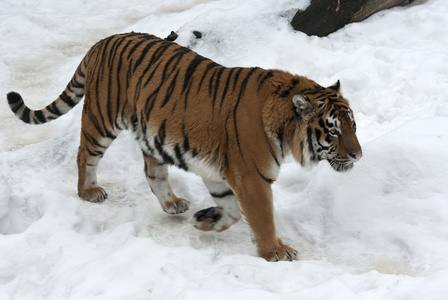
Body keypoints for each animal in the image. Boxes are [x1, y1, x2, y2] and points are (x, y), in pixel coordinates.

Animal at [6, 32, 360, 260]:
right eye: (333, 131)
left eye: (352, 126)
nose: (358, 154)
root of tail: (102, 41)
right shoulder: (251, 177)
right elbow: (262, 217)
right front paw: (276, 251)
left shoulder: (222, 173)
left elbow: (233, 210)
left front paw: (206, 221)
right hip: (101, 120)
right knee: (84, 155)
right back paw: (88, 191)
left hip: (151, 134)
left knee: (153, 172)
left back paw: (172, 203)